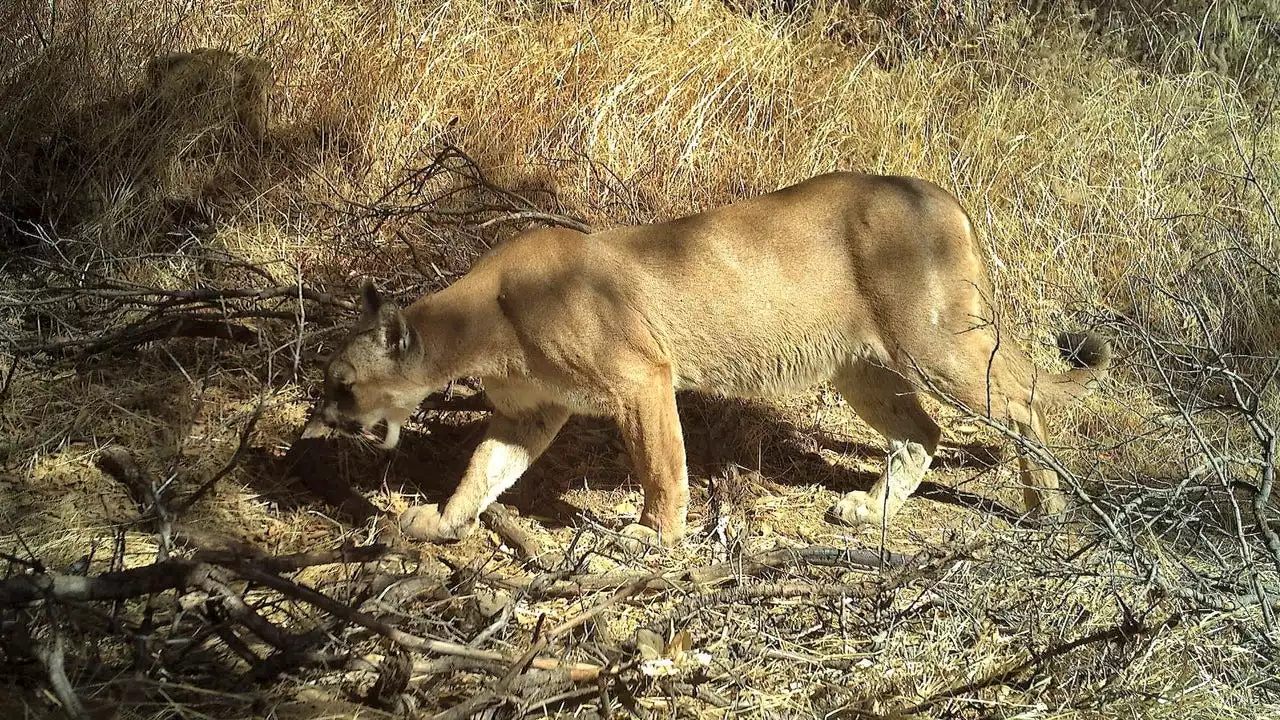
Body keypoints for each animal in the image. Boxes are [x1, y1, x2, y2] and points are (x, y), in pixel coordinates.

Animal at [302, 170, 1111, 545]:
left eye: (343, 383)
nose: (319, 420)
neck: (480, 324)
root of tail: (937, 190)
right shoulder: (531, 414)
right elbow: (483, 470)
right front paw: (440, 523)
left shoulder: (640, 377)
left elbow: (661, 463)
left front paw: (652, 535)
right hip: (862, 365)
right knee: (923, 433)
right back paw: (869, 508)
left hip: (932, 341)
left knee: (1018, 401)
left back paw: (1049, 505)